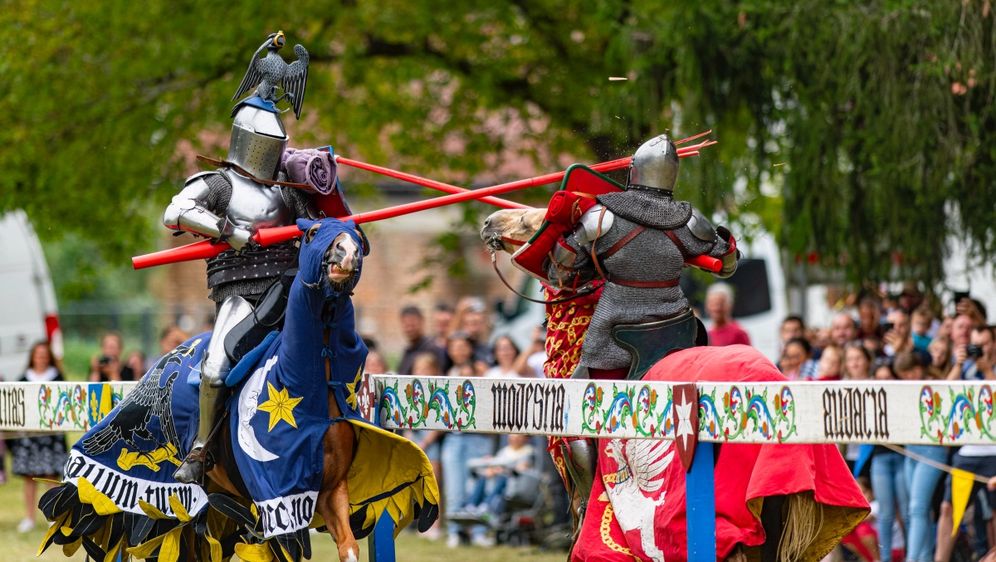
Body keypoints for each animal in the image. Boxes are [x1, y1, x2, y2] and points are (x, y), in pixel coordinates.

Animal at [40, 218, 436, 560]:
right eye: (314, 233)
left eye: (356, 237)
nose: (347, 254)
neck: (311, 398)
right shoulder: (277, 501)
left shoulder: (330, 492)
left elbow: (349, 546)